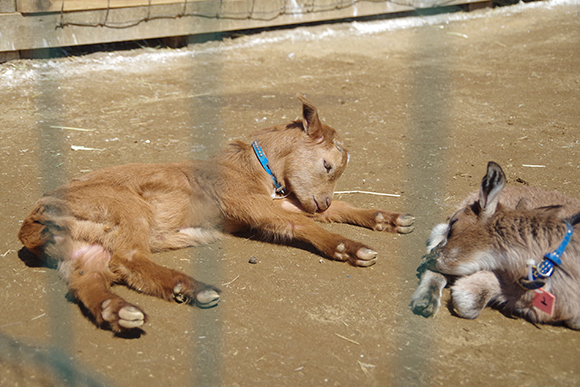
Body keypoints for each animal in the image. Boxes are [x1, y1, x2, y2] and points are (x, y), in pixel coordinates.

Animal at [18, 94, 414, 334]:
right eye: (328, 165)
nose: (323, 203)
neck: (252, 166)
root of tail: (31, 224)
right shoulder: (247, 202)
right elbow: (298, 223)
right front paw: (350, 248)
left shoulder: (281, 199)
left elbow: (336, 209)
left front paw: (387, 218)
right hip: (126, 208)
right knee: (128, 258)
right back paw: (192, 288)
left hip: (84, 251)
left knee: (90, 282)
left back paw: (121, 309)